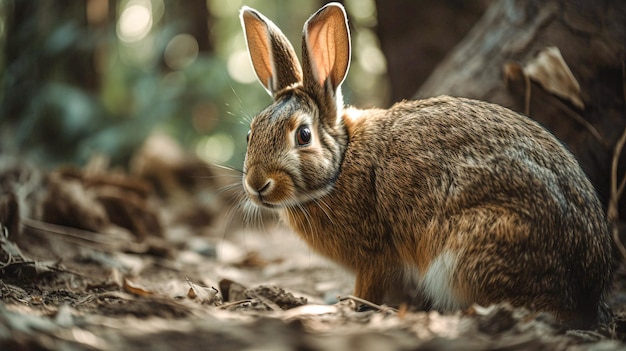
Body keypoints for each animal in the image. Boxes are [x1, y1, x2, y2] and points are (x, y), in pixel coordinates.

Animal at [238, 2, 608, 330]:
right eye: (250, 133)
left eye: (303, 135)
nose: (257, 184)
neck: (341, 162)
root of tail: (587, 292)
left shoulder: (375, 254)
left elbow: (369, 287)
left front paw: (353, 306)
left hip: (474, 246)